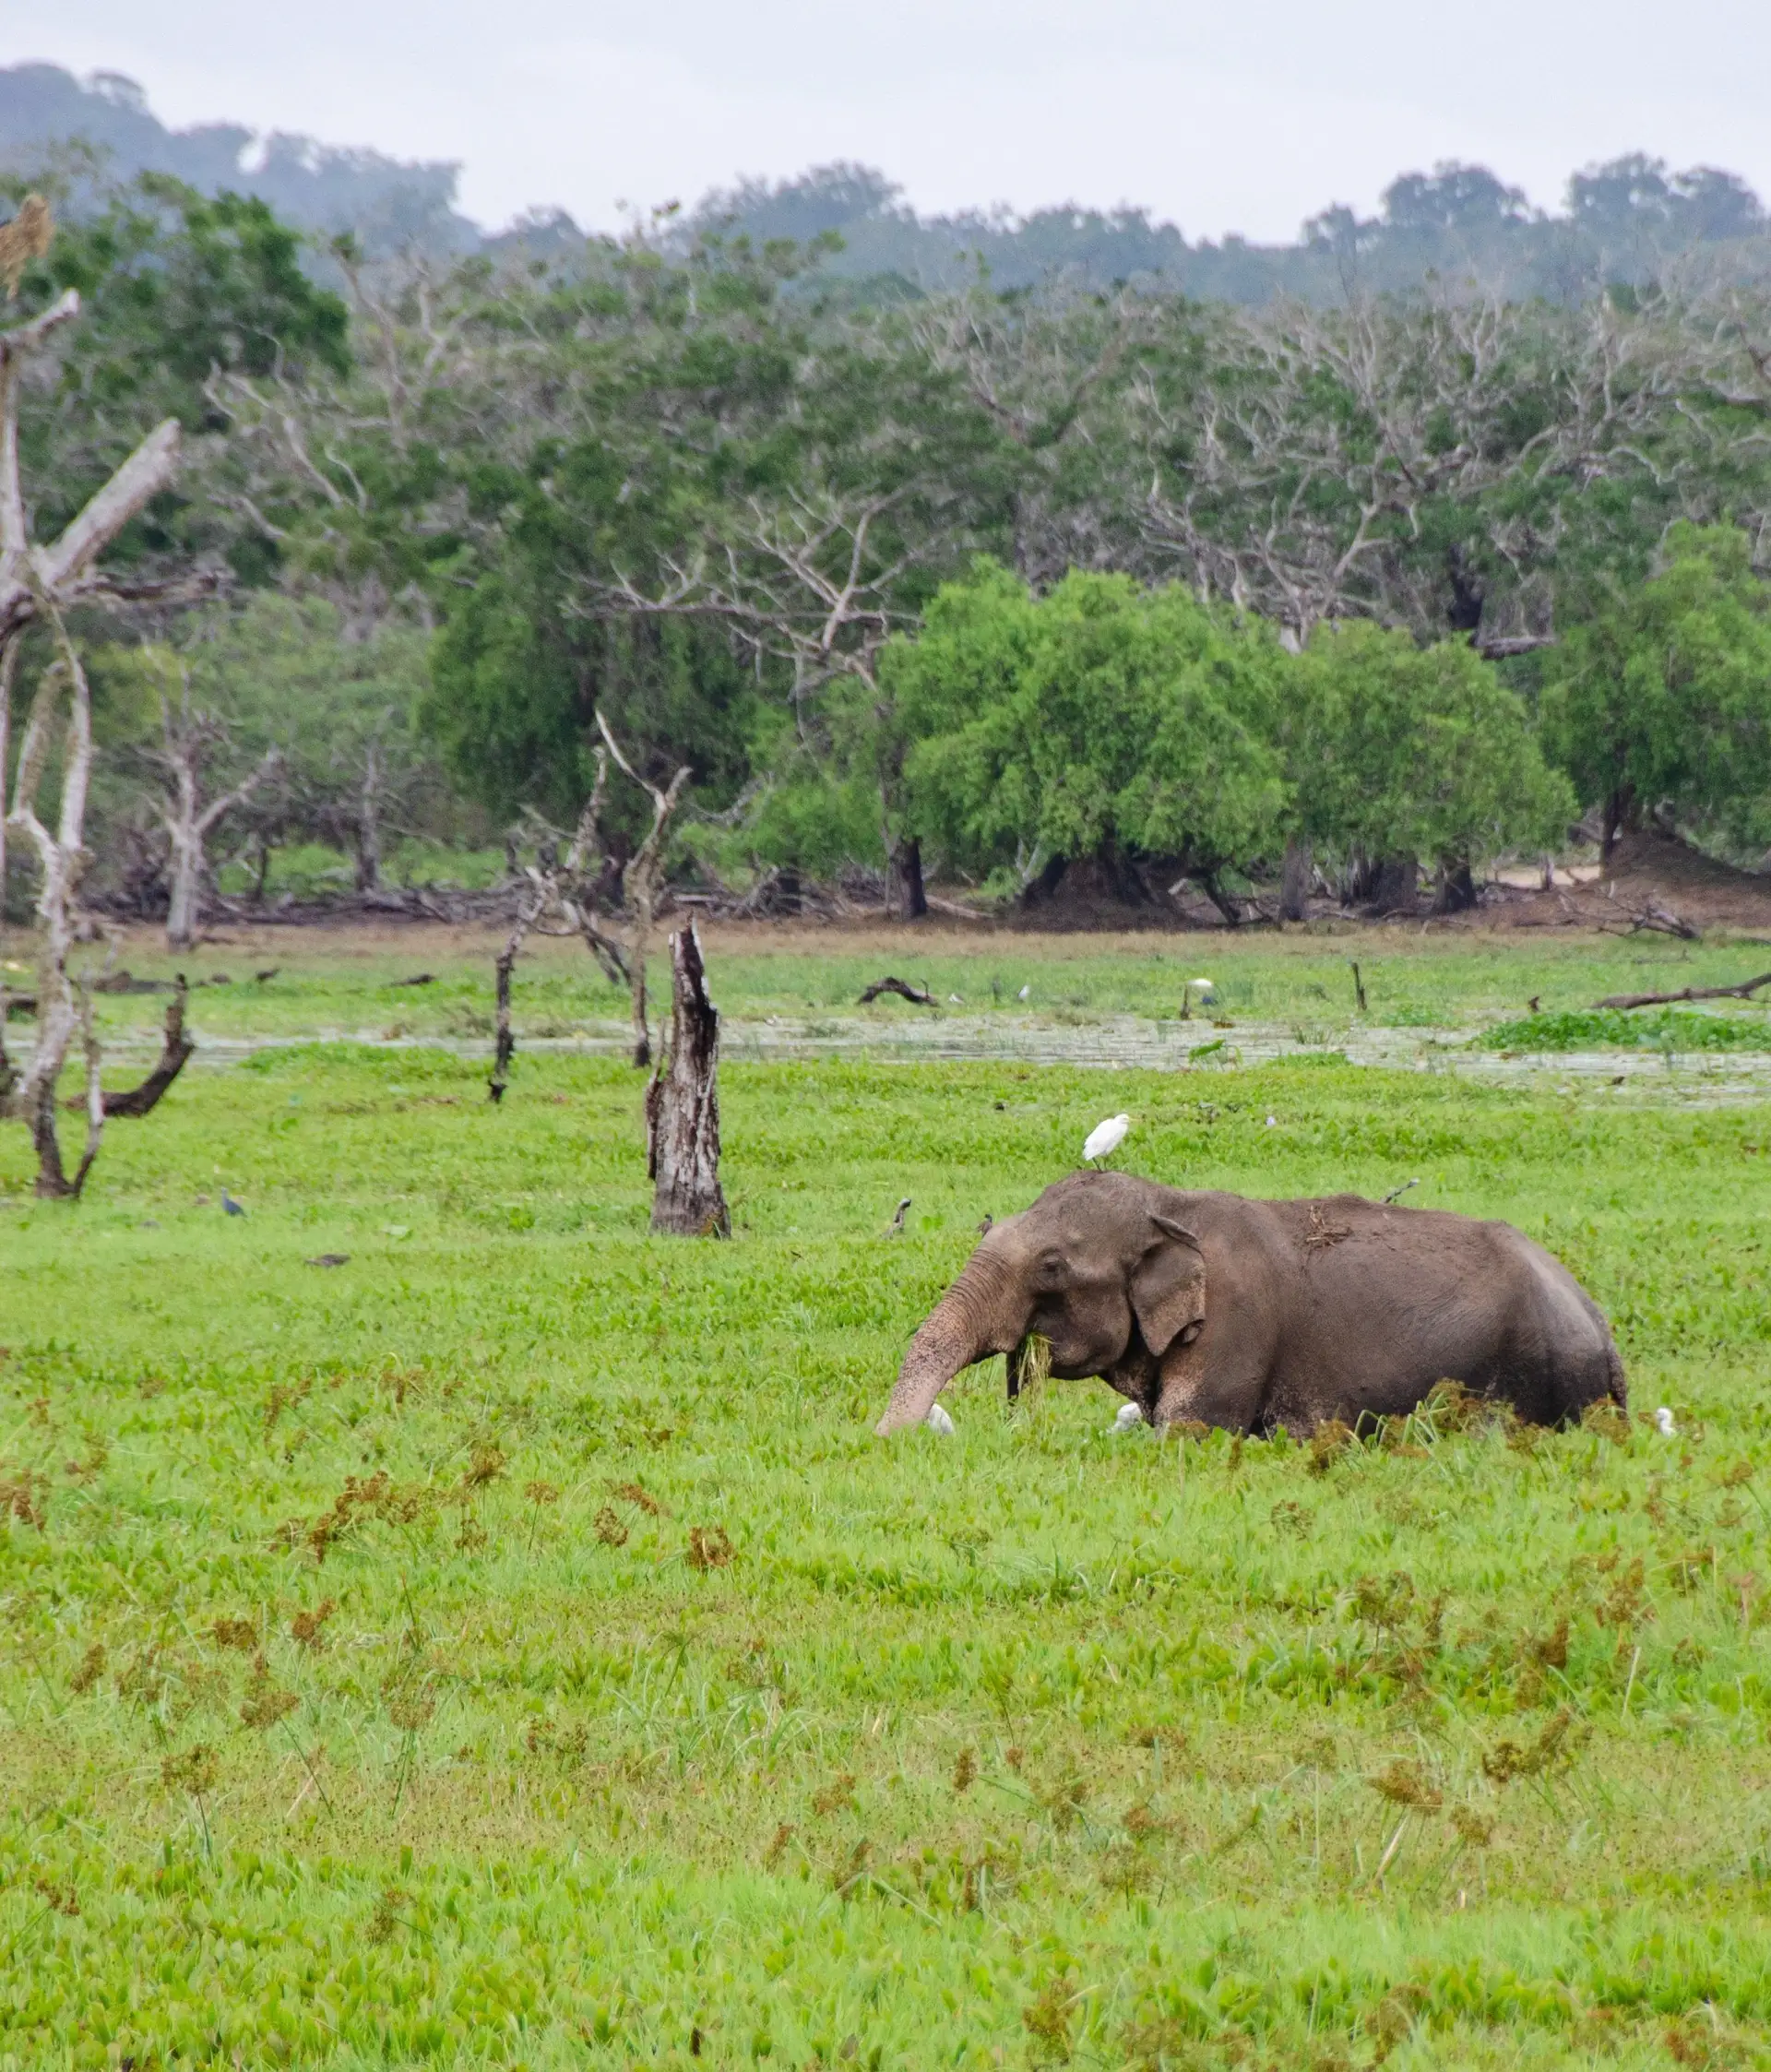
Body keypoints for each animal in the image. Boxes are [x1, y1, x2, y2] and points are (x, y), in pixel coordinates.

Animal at [873, 1172, 1625, 1437]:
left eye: (1052, 1266)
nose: (890, 1442)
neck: (1170, 1205)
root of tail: (1601, 1325)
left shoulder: (1236, 1327)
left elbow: (1192, 1429)